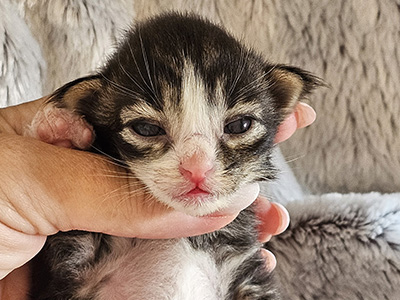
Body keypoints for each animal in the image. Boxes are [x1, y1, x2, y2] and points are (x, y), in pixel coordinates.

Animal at [27, 12, 322, 298]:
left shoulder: (245, 270)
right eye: (146, 129)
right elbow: (69, 234)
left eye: (240, 125)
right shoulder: (74, 269)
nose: (197, 168)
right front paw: (61, 131)